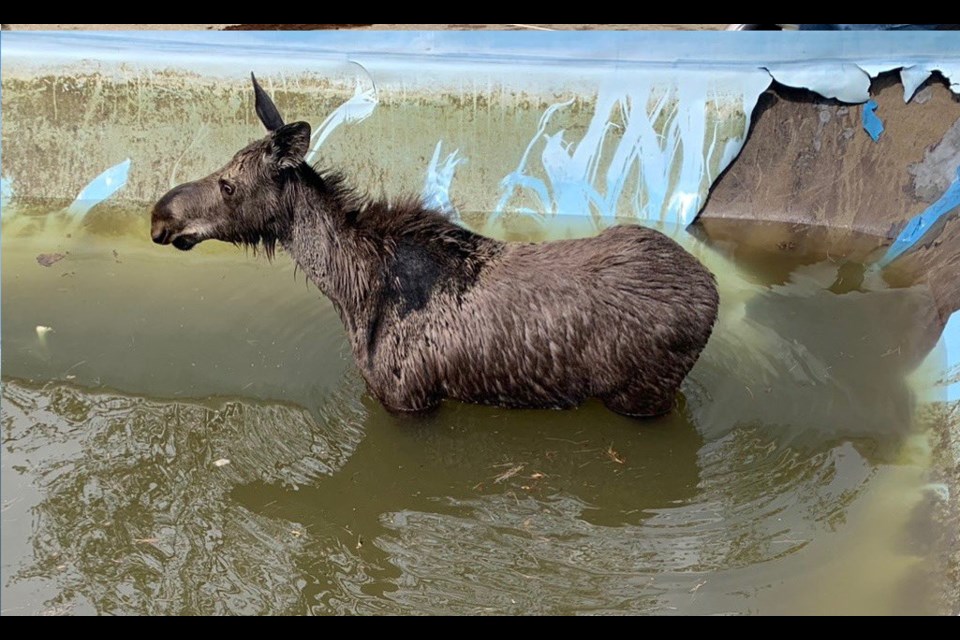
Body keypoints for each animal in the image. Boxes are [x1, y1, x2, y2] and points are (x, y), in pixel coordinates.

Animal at [152, 75, 720, 418]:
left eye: (228, 184)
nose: (160, 216)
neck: (349, 288)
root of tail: (711, 289)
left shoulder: (409, 400)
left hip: (641, 397)